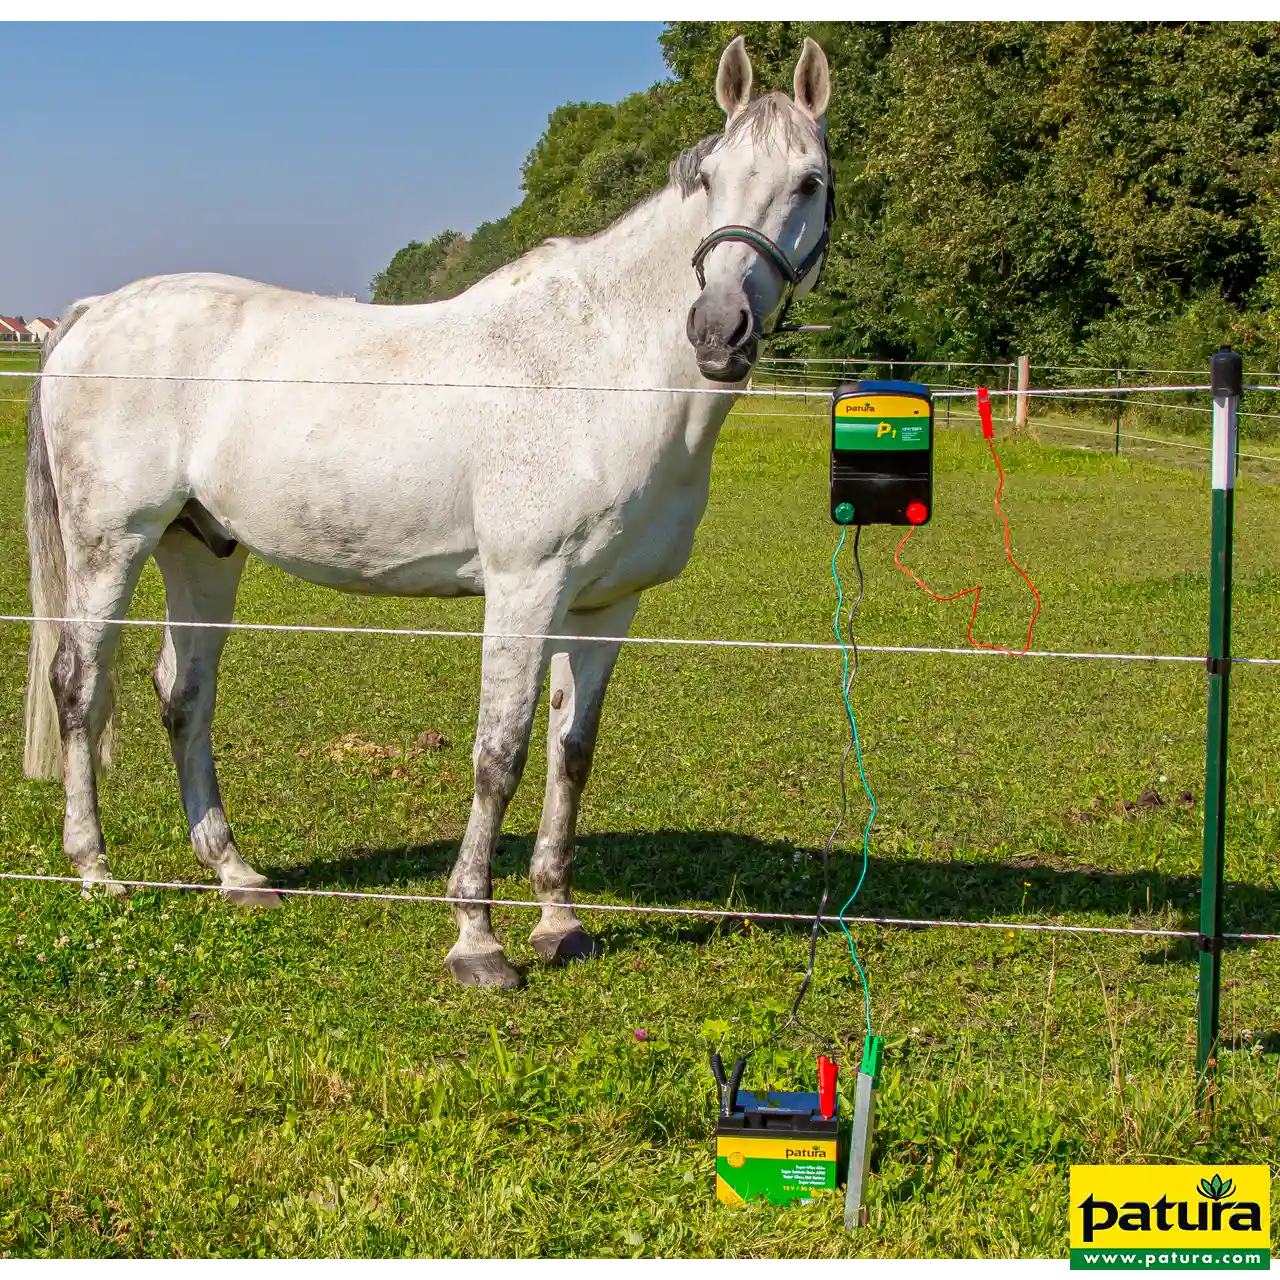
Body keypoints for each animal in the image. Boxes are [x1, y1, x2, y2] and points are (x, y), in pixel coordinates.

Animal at [22, 35, 835, 989]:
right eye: (710, 178)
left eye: (809, 182)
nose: (718, 328)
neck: (603, 365)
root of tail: (91, 315)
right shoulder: (525, 589)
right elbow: (500, 755)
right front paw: (477, 941)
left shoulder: (605, 607)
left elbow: (571, 755)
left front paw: (560, 922)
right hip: (110, 544)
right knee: (80, 684)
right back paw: (95, 871)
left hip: (202, 549)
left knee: (182, 695)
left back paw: (236, 874)